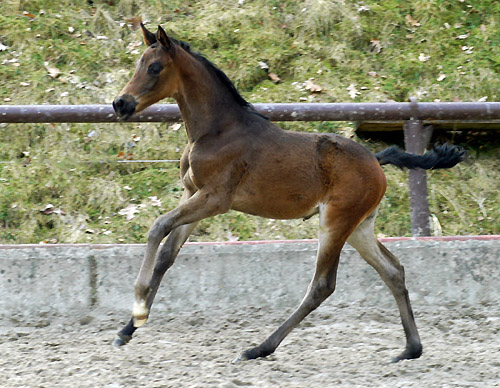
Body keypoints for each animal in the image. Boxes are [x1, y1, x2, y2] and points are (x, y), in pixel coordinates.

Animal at [112, 25, 464, 364]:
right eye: (138, 64)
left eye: (155, 67)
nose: (120, 104)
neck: (216, 130)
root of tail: (376, 162)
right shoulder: (193, 194)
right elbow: (167, 254)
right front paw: (128, 328)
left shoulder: (215, 199)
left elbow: (157, 227)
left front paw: (139, 307)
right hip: (359, 227)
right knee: (393, 270)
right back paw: (410, 349)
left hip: (335, 223)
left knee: (322, 285)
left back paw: (258, 349)